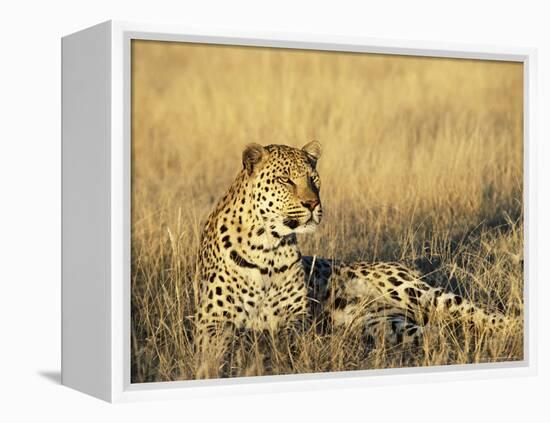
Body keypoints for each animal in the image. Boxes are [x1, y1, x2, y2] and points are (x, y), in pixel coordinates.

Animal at [195, 141, 512, 380]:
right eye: (285, 179)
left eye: (314, 180)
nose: (313, 204)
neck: (268, 246)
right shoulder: (211, 321)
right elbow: (223, 347)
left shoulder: (296, 318)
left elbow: (282, 339)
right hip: (384, 324)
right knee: (437, 333)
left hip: (417, 293)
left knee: (478, 312)